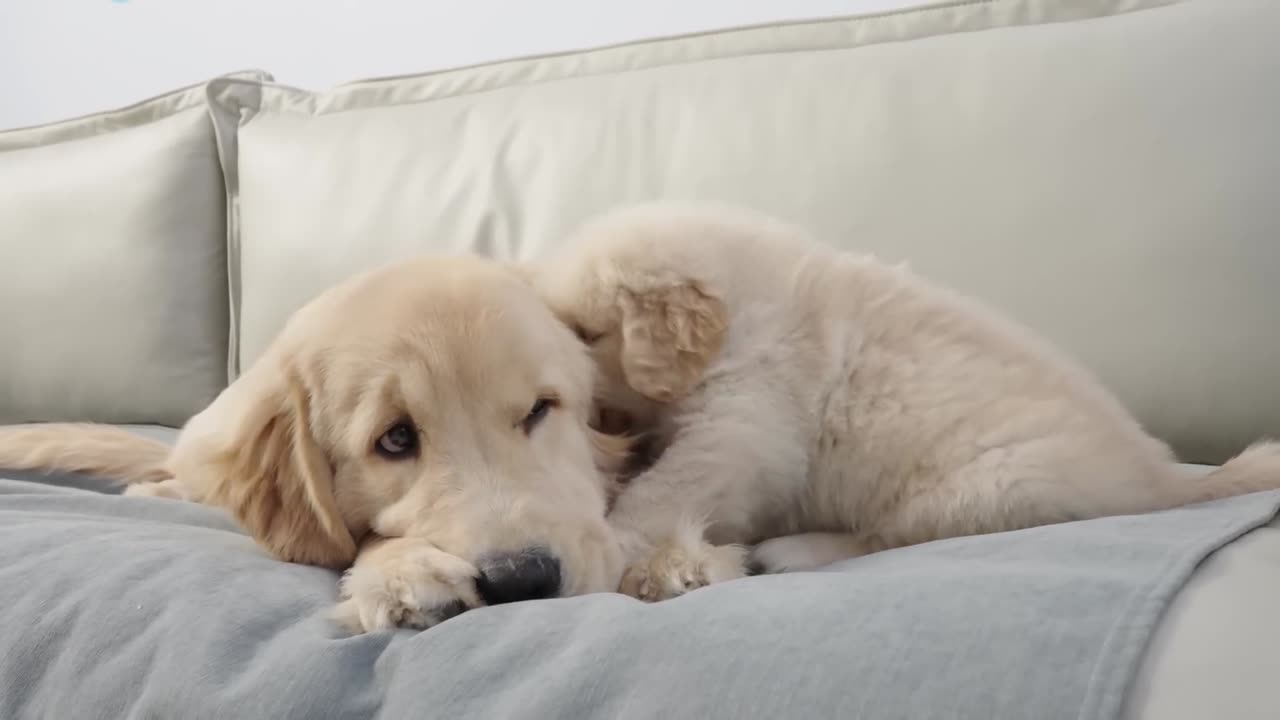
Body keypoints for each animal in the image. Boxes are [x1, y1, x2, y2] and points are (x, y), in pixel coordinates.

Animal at [529, 203, 1280, 599]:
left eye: (589, 334)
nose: (589, 419)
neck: (741, 312)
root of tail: (1160, 478)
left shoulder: (743, 427)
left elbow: (663, 492)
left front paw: (616, 541)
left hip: (982, 490)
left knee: (888, 536)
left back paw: (797, 550)